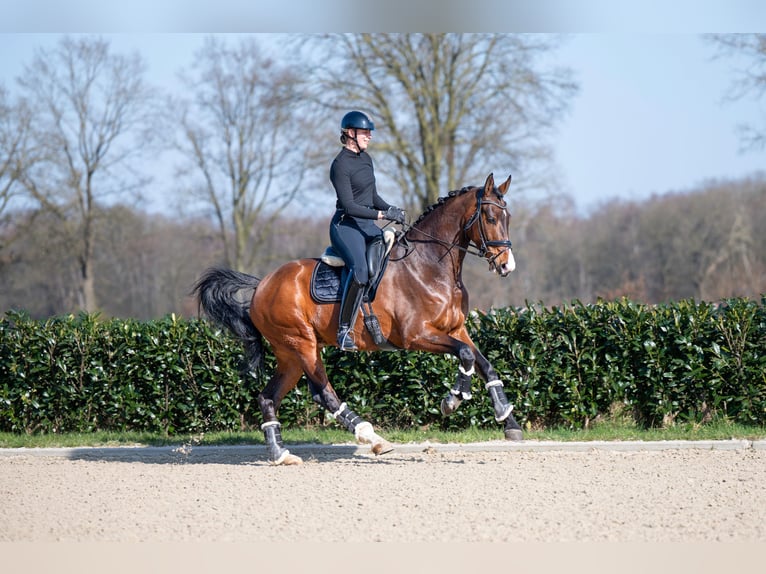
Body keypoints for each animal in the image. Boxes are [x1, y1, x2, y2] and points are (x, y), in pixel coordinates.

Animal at [193, 172, 523, 465]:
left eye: (508, 218)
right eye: (490, 218)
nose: (507, 266)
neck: (429, 265)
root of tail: (262, 285)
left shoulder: (456, 328)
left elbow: (484, 364)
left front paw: (508, 420)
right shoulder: (416, 335)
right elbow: (465, 355)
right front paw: (453, 399)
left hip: (290, 355)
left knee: (268, 398)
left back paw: (280, 455)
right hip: (302, 344)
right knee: (324, 394)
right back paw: (373, 438)